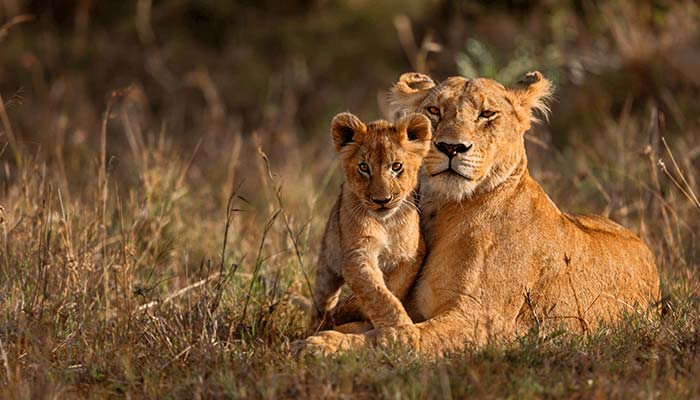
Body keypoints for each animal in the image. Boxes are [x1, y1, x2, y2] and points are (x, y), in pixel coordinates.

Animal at [306, 112, 432, 334]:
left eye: (396, 166)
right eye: (364, 167)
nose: (382, 200)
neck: (386, 223)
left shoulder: (412, 255)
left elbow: (393, 288)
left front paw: (356, 309)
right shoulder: (357, 255)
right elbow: (378, 293)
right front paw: (402, 331)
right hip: (327, 265)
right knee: (322, 299)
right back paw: (319, 323)